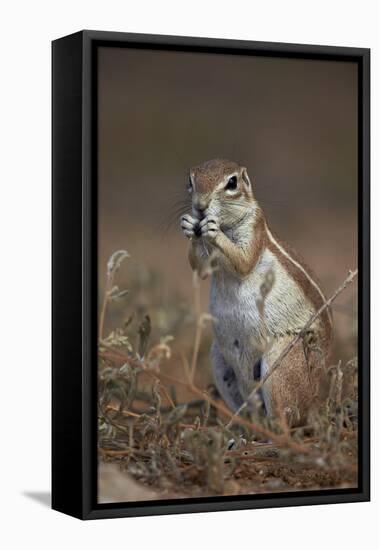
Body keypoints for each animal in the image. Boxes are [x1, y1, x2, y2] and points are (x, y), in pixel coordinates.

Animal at [181, 157, 332, 424]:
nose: (200, 207)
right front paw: (190, 225)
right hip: (218, 359)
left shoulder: (254, 229)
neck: (228, 224)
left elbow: (243, 261)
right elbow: (201, 268)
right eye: (191, 180)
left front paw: (213, 231)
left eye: (232, 183)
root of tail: (324, 399)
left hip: (281, 363)